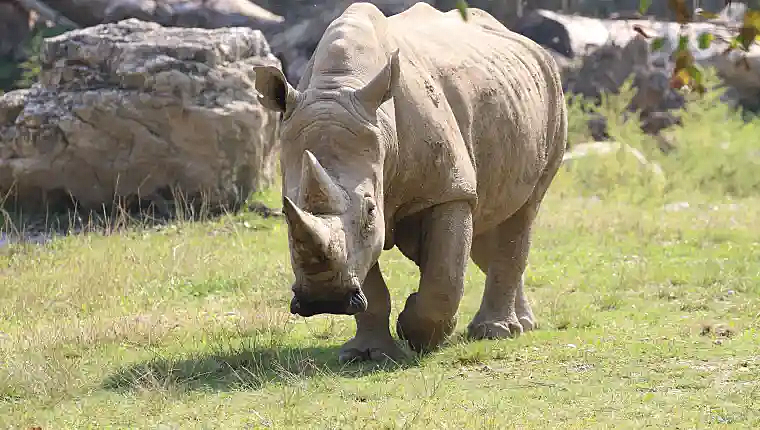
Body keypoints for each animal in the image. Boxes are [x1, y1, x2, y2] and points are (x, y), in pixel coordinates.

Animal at [252, 1, 568, 362]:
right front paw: (368, 353)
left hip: (553, 95)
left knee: (523, 213)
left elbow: (444, 275)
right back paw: (521, 324)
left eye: (370, 211)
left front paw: (418, 334)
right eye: (285, 211)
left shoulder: (449, 190)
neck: (339, 86)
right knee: (490, 226)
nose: (324, 300)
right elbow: (370, 278)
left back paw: (497, 332)